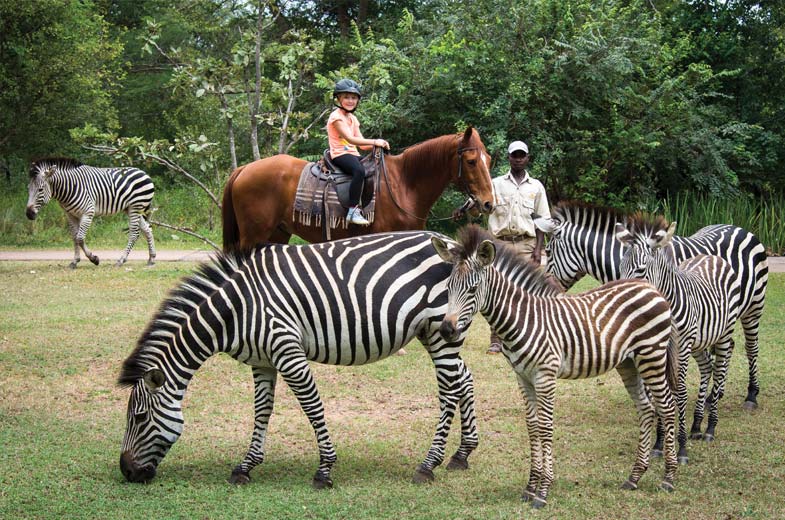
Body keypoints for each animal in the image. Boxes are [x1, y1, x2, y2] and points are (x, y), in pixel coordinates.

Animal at [222, 127, 495, 251]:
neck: (404, 184)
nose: (488, 203)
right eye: (471, 161)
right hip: (252, 236)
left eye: (489, 160)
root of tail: (244, 169)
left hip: (276, 234)